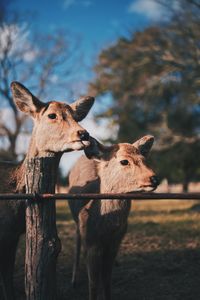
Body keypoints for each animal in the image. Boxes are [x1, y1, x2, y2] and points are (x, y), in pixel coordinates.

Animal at [68, 136, 159, 300]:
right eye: (124, 161)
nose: (154, 178)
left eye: (144, 159)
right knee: (77, 242)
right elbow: (93, 282)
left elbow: (107, 279)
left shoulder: (115, 243)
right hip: (77, 222)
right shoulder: (92, 243)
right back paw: (74, 280)